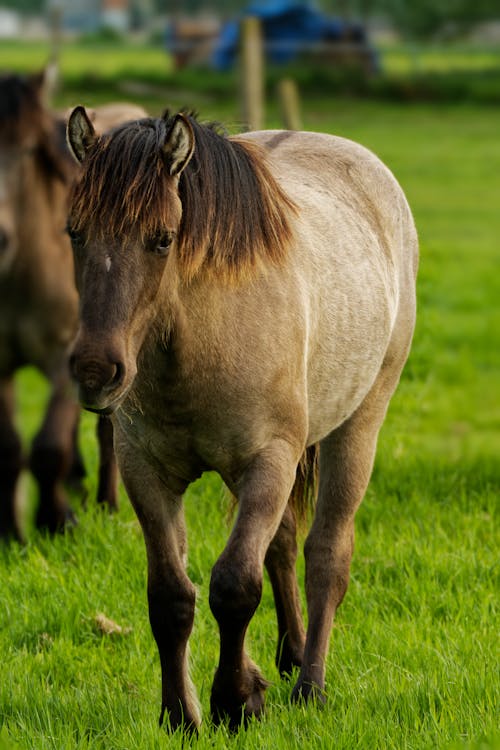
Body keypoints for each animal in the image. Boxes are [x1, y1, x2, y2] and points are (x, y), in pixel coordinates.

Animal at [0, 69, 146, 540]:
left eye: (29, 149)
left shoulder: (70, 356)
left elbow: (48, 448)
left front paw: (54, 523)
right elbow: (10, 448)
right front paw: (12, 532)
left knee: (107, 433)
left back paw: (105, 503)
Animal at [66, 107, 418, 736]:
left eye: (162, 239)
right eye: (74, 233)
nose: (95, 370)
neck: (201, 333)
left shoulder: (269, 460)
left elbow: (233, 586)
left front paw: (234, 702)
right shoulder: (146, 473)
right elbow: (171, 596)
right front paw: (181, 713)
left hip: (358, 427)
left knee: (326, 555)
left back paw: (310, 686)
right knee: (281, 545)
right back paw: (289, 654)